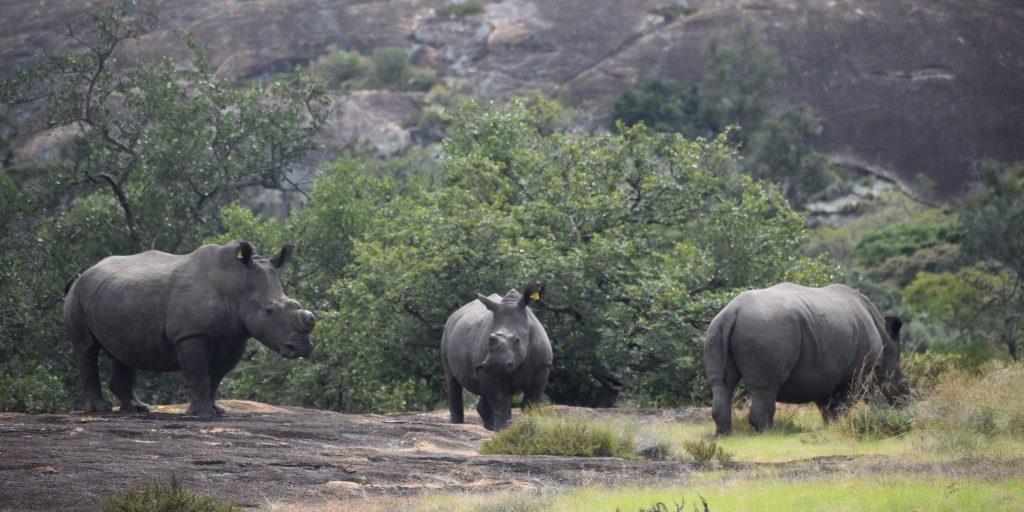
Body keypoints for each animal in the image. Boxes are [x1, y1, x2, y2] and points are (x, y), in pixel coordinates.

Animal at [63, 241, 315, 419]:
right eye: (269, 311)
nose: (302, 348)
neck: (236, 283)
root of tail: (85, 271)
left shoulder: (236, 339)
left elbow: (215, 377)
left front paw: (217, 411)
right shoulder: (189, 334)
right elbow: (198, 373)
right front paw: (202, 415)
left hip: (115, 293)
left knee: (123, 350)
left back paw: (137, 408)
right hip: (78, 293)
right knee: (86, 347)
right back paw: (99, 409)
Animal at [441, 285, 553, 431]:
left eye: (517, 340)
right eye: (489, 339)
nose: (494, 364)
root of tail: (454, 315)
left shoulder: (543, 366)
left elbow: (531, 401)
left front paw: (528, 423)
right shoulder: (484, 368)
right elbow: (499, 400)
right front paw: (503, 429)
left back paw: (489, 427)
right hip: (447, 332)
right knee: (452, 379)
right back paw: (457, 423)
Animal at [703, 283, 909, 435]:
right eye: (904, 383)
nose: (906, 402)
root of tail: (733, 311)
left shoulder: (823, 372)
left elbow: (826, 403)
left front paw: (831, 425)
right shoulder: (856, 373)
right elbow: (843, 401)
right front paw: (840, 424)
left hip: (716, 328)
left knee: (721, 384)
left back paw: (724, 434)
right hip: (766, 329)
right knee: (765, 387)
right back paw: (769, 433)